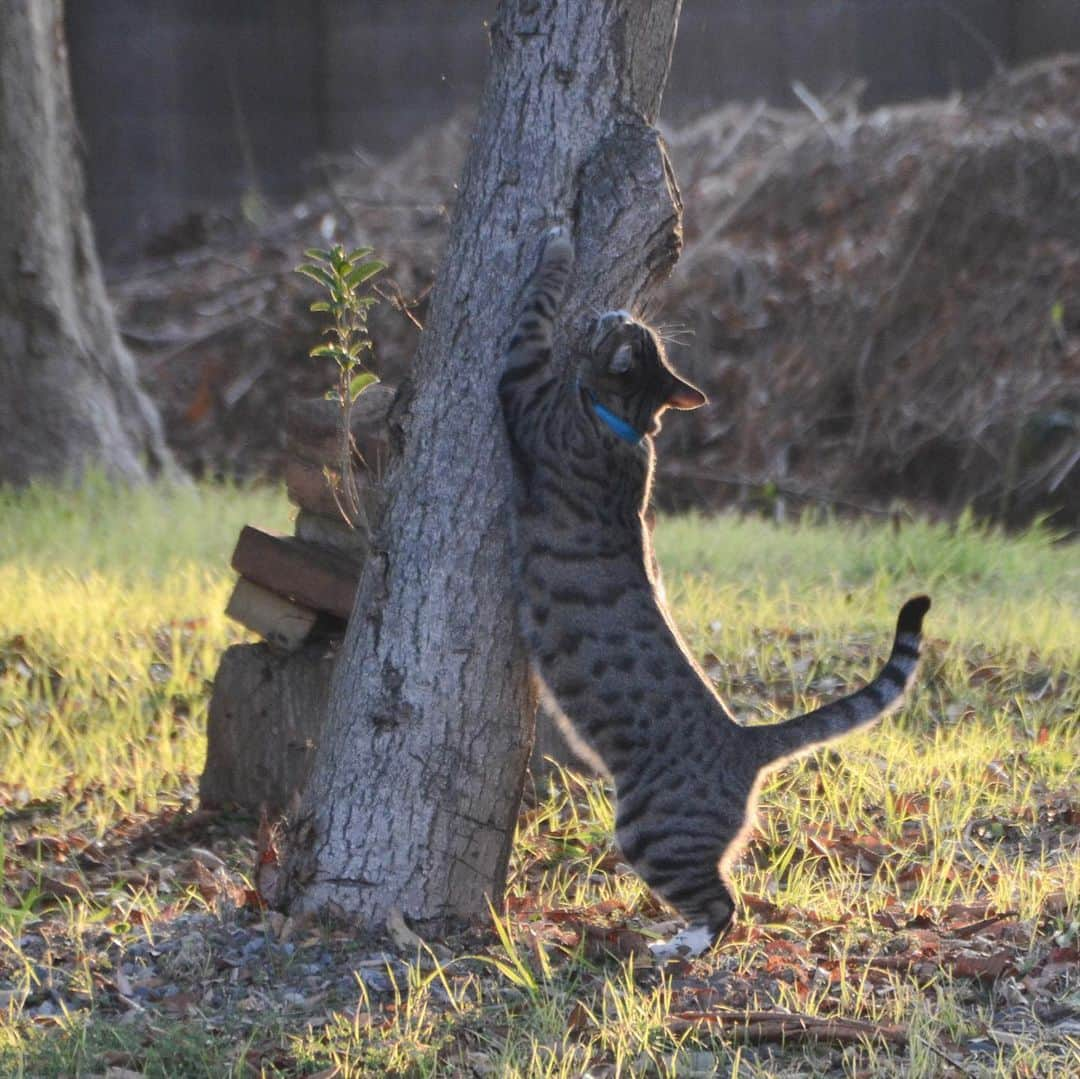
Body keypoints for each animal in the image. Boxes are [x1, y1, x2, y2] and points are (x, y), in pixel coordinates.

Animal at [496, 225, 928, 954]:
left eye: (616, 327)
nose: (615, 308)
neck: (625, 423)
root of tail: (743, 741)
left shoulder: (526, 391)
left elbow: (532, 316)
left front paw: (557, 245)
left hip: (650, 828)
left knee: (724, 904)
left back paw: (678, 944)